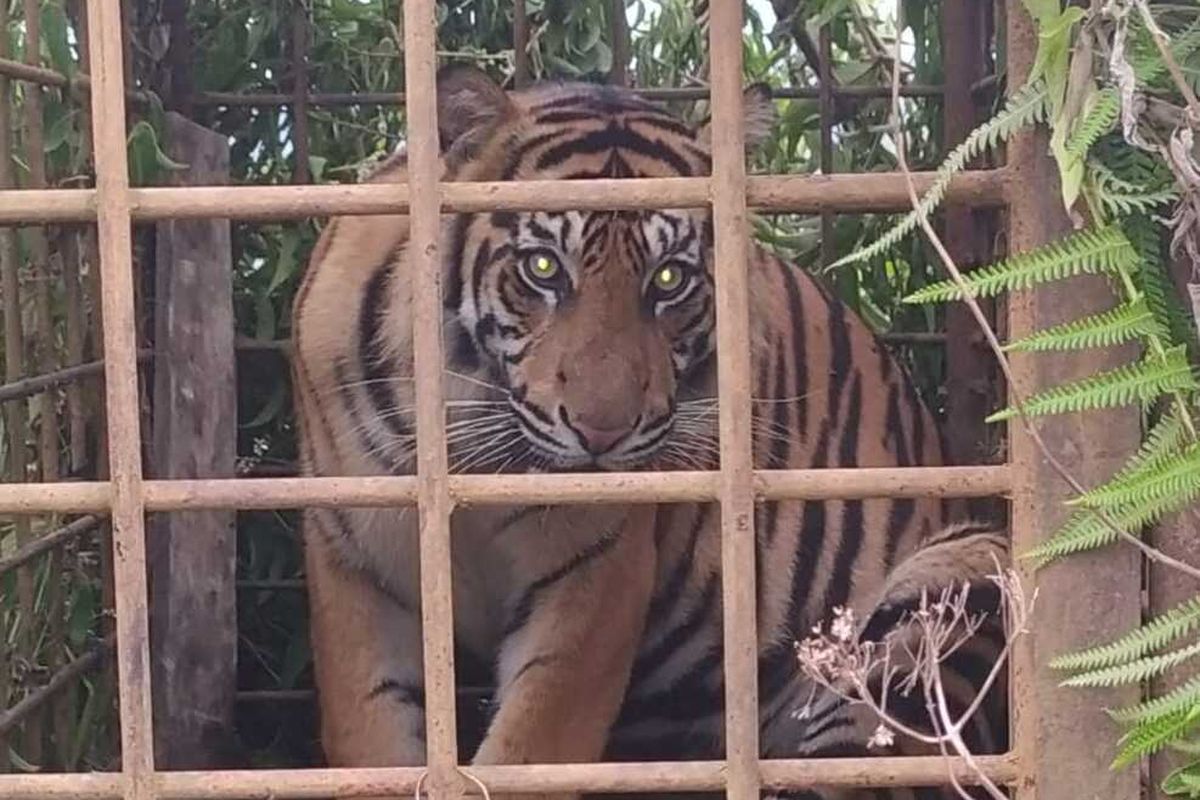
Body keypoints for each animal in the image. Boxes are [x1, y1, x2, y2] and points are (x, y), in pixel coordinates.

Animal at [292, 64, 1012, 800]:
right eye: (544, 269)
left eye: (669, 279)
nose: (602, 432)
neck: (476, 452)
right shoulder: (354, 561)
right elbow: (369, 734)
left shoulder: (597, 573)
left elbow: (534, 749)